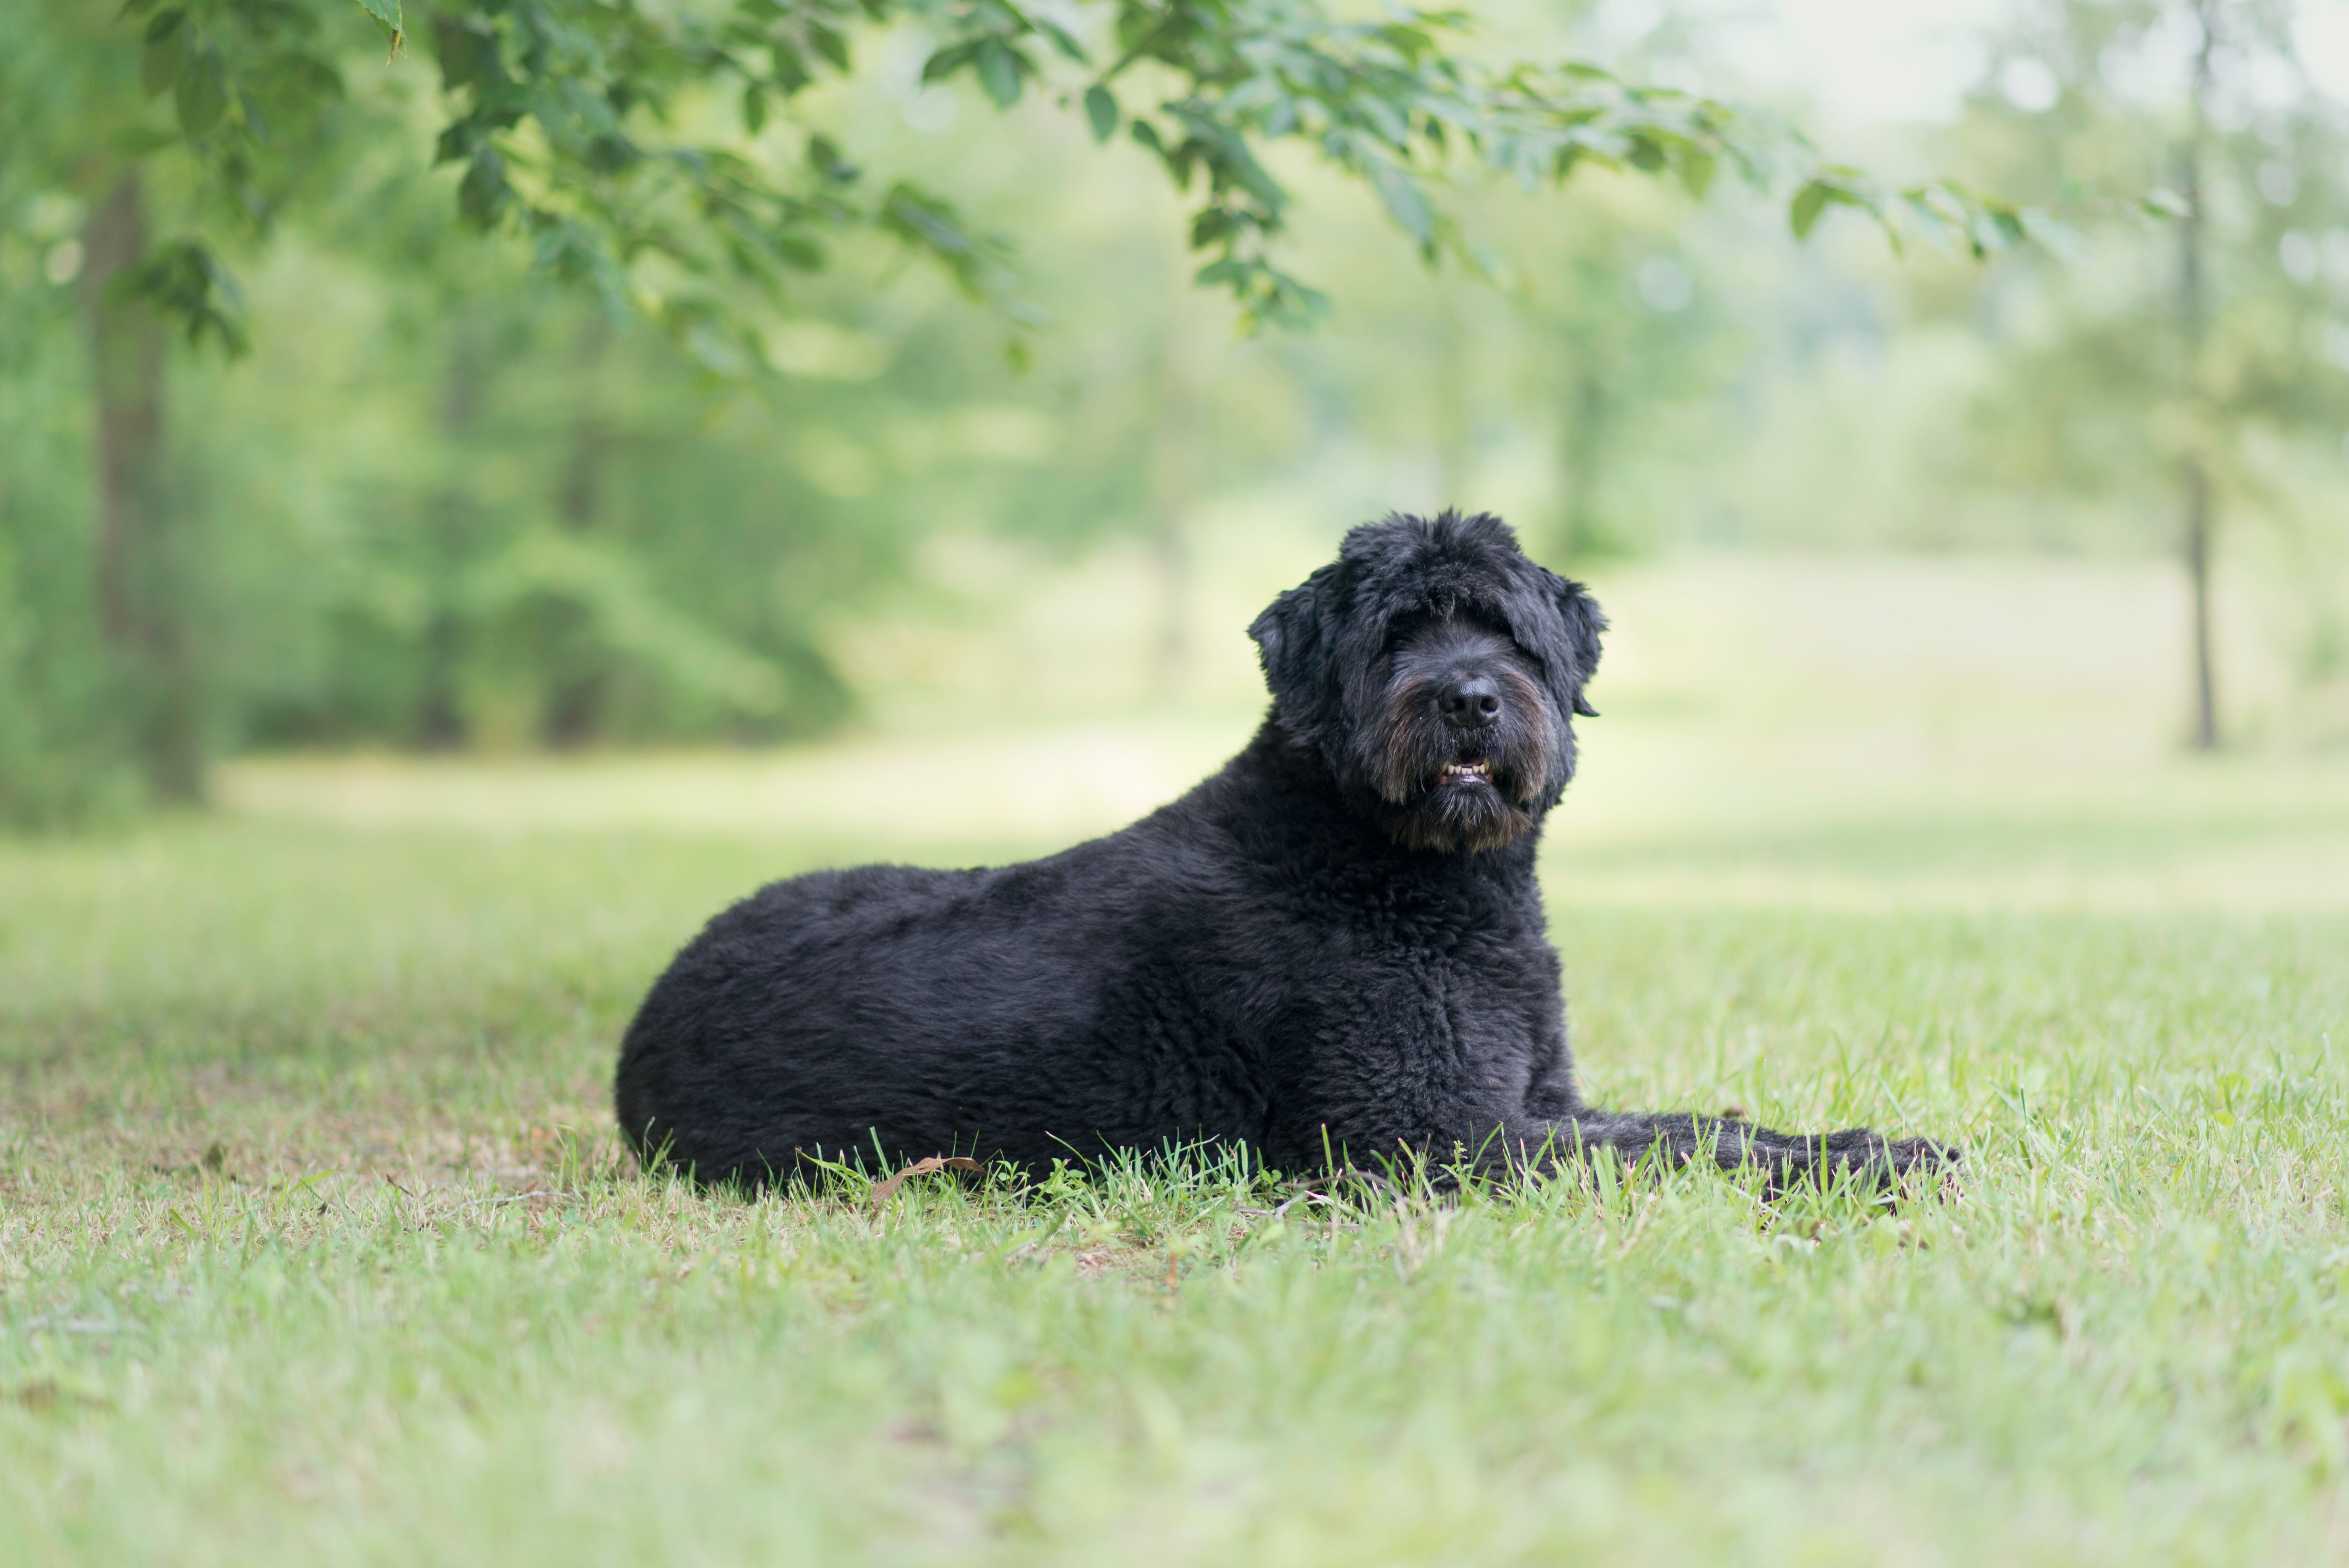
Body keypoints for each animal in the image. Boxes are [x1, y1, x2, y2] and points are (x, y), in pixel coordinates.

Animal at [606, 514, 1945, 1188]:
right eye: (1396, 632)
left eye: (1505, 629)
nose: (1468, 698)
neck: (1394, 871)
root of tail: (644, 1020)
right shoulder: (1435, 1138)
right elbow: (1680, 1151)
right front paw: (1863, 1164)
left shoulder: (1539, 1102)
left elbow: (1693, 1125)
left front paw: (1862, 1144)